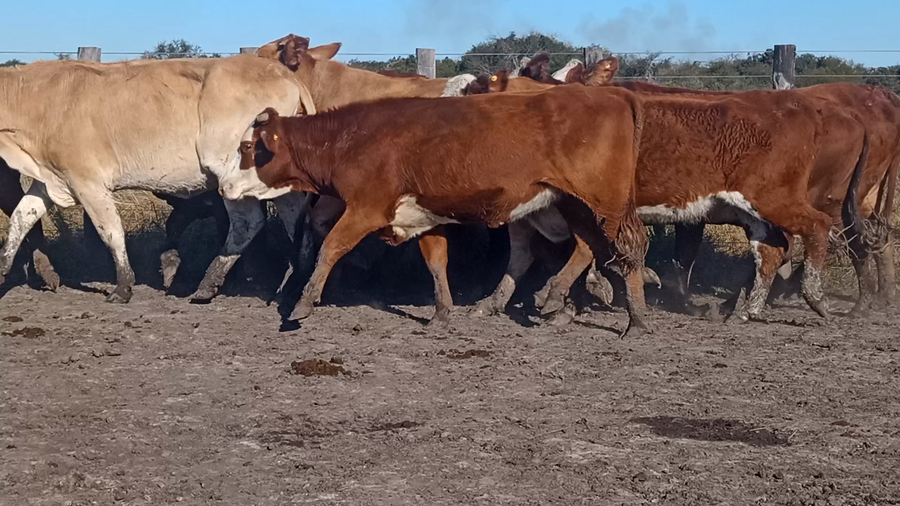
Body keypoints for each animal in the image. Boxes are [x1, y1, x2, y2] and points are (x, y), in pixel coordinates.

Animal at [0, 38, 318, 303]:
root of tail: (283, 73)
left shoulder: (88, 182)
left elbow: (111, 231)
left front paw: (123, 286)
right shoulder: (50, 179)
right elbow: (21, 218)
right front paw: (3, 269)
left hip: (231, 170)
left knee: (247, 223)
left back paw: (209, 284)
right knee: (293, 213)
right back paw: (294, 274)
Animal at [221, 86, 652, 336]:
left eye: (248, 147)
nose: (223, 185)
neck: (351, 139)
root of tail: (614, 96)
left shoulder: (366, 209)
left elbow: (331, 248)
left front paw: (303, 304)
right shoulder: (422, 217)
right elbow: (436, 262)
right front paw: (442, 312)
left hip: (606, 205)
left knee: (627, 250)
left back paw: (634, 320)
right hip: (572, 204)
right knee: (587, 246)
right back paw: (557, 297)